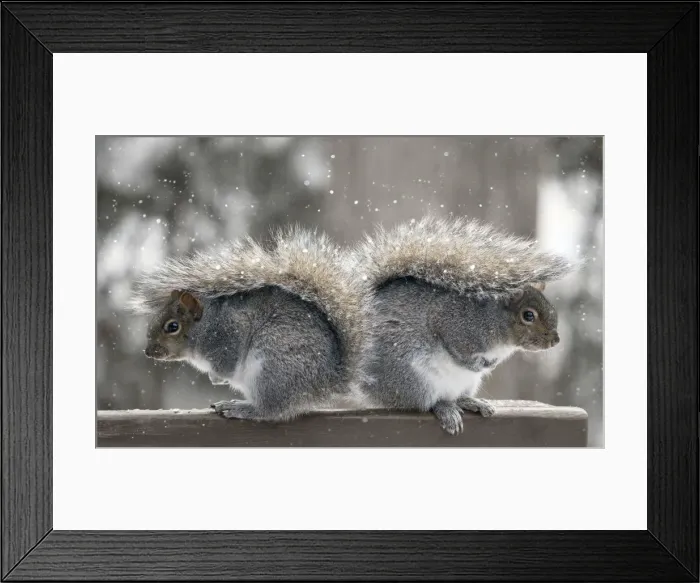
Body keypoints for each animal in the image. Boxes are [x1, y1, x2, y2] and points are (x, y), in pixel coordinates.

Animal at [129, 226, 371, 422]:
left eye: (172, 327)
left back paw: (240, 408)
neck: (205, 326)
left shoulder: (227, 336)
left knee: (269, 410)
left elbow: (226, 365)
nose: (149, 351)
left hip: (272, 366)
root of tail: (327, 380)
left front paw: (216, 377)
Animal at [350, 215, 579, 435]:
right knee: (424, 403)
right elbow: (457, 350)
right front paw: (475, 364)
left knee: (456, 397)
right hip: (412, 379)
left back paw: (470, 401)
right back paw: (445, 409)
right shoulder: (453, 324)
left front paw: (490, 365)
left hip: (467, 384)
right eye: (528, 315)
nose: (555, 340)